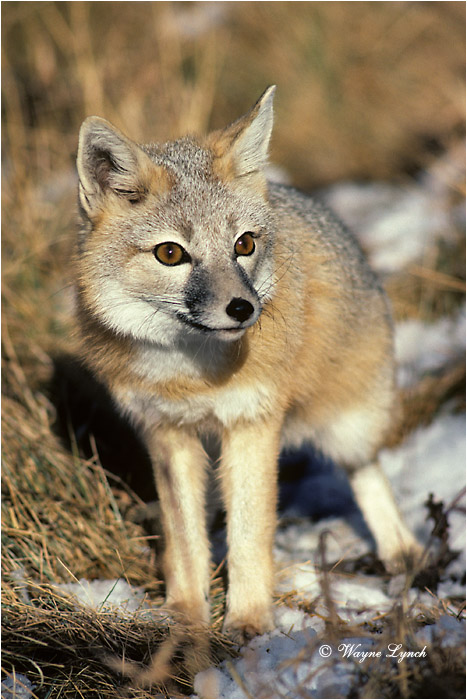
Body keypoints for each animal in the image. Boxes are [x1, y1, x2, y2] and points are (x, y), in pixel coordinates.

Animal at [75, 86, 421, 643]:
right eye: (170, 254)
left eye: (244, 244)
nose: (243, 308)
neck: (189, 375)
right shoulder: (166, 434)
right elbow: (187, 539)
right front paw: (185, 615)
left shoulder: (252, 424)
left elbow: (250, 536)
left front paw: (251, 620)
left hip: (348, 423)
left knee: (365, 469)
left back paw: (400, 548)